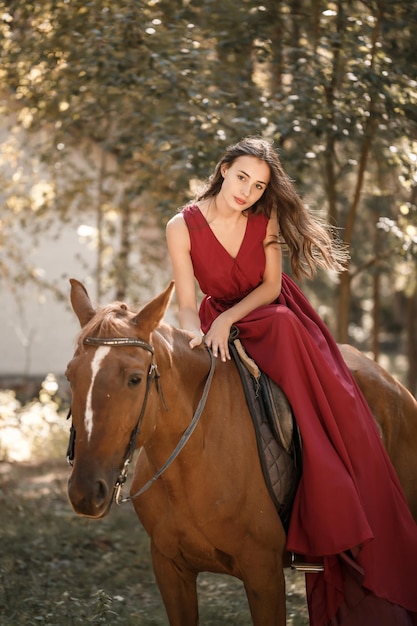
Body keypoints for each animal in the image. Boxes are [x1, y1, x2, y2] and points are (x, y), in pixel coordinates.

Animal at [65, 280, 416, 624]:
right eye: (70, 376)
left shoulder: (263, 574)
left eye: (135, 379)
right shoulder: (169, 568)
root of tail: (395, 386)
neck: (191, 465)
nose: (85, 492)